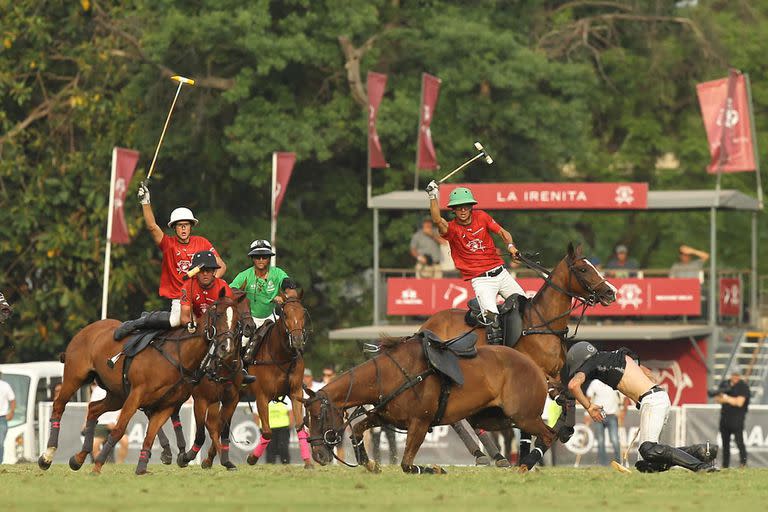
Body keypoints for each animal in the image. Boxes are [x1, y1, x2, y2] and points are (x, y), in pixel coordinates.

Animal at [38, 292, 240, 476]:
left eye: (237, 320)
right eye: (219, 315)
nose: (227, 347)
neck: (178, 356)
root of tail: (88, 328)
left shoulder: (166, 405)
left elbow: (150, 435)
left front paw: (142, 468)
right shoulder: (136, 396)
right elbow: (118, 430)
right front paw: (98, 465)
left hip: (117, 395)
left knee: (94, 408)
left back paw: (78, 458)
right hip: (75, 377)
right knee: (58, 406)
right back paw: (47, 456)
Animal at [242, 292, 310, 468]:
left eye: (303, 313)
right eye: (284, 313)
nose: (297, 340)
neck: (280, 356)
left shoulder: (296, 392)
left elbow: (299, 426)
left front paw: (308, 461)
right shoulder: (261, 396)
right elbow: (267, 432)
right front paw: (251, 458)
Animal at [304, 334, 556, 474]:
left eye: (318, 416)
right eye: (306, 420)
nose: (318, 455)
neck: (390, 376)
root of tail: (536, 367)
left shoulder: (420, 423)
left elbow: (407, 464)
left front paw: (435, 468)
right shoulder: (384, 416)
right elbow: (356, 430)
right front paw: (370, 464)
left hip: (523, 416)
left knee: (549, 435)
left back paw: (525, 465)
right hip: (495, 418)